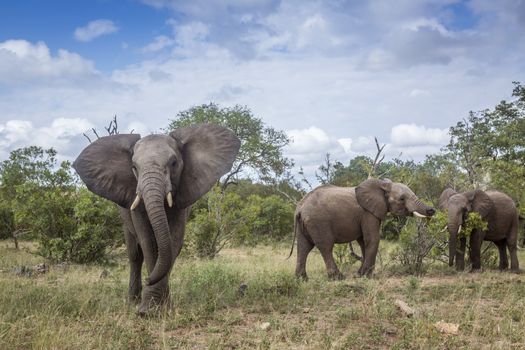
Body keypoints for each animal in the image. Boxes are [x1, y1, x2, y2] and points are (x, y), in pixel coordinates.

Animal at [72, 123, 239, 314]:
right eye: (134, 167)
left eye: (174, 163)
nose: (148, 279)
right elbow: (148, 244)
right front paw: (148, 310)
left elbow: (173, 242)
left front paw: (162, 307)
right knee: (134, 255)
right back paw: (132, 300)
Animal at [290, 178, 434, 278]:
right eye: (402, 199)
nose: (432, 210)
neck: (382, 185)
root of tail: (300, 207)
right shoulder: (368, 213)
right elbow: (372, 239)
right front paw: (366, 276)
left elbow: (363, 241)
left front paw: (360, 274)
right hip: (319, 222)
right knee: (325, 247)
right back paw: (338, 277)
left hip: (304, 224)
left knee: (303, 247)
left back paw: (302, 279)